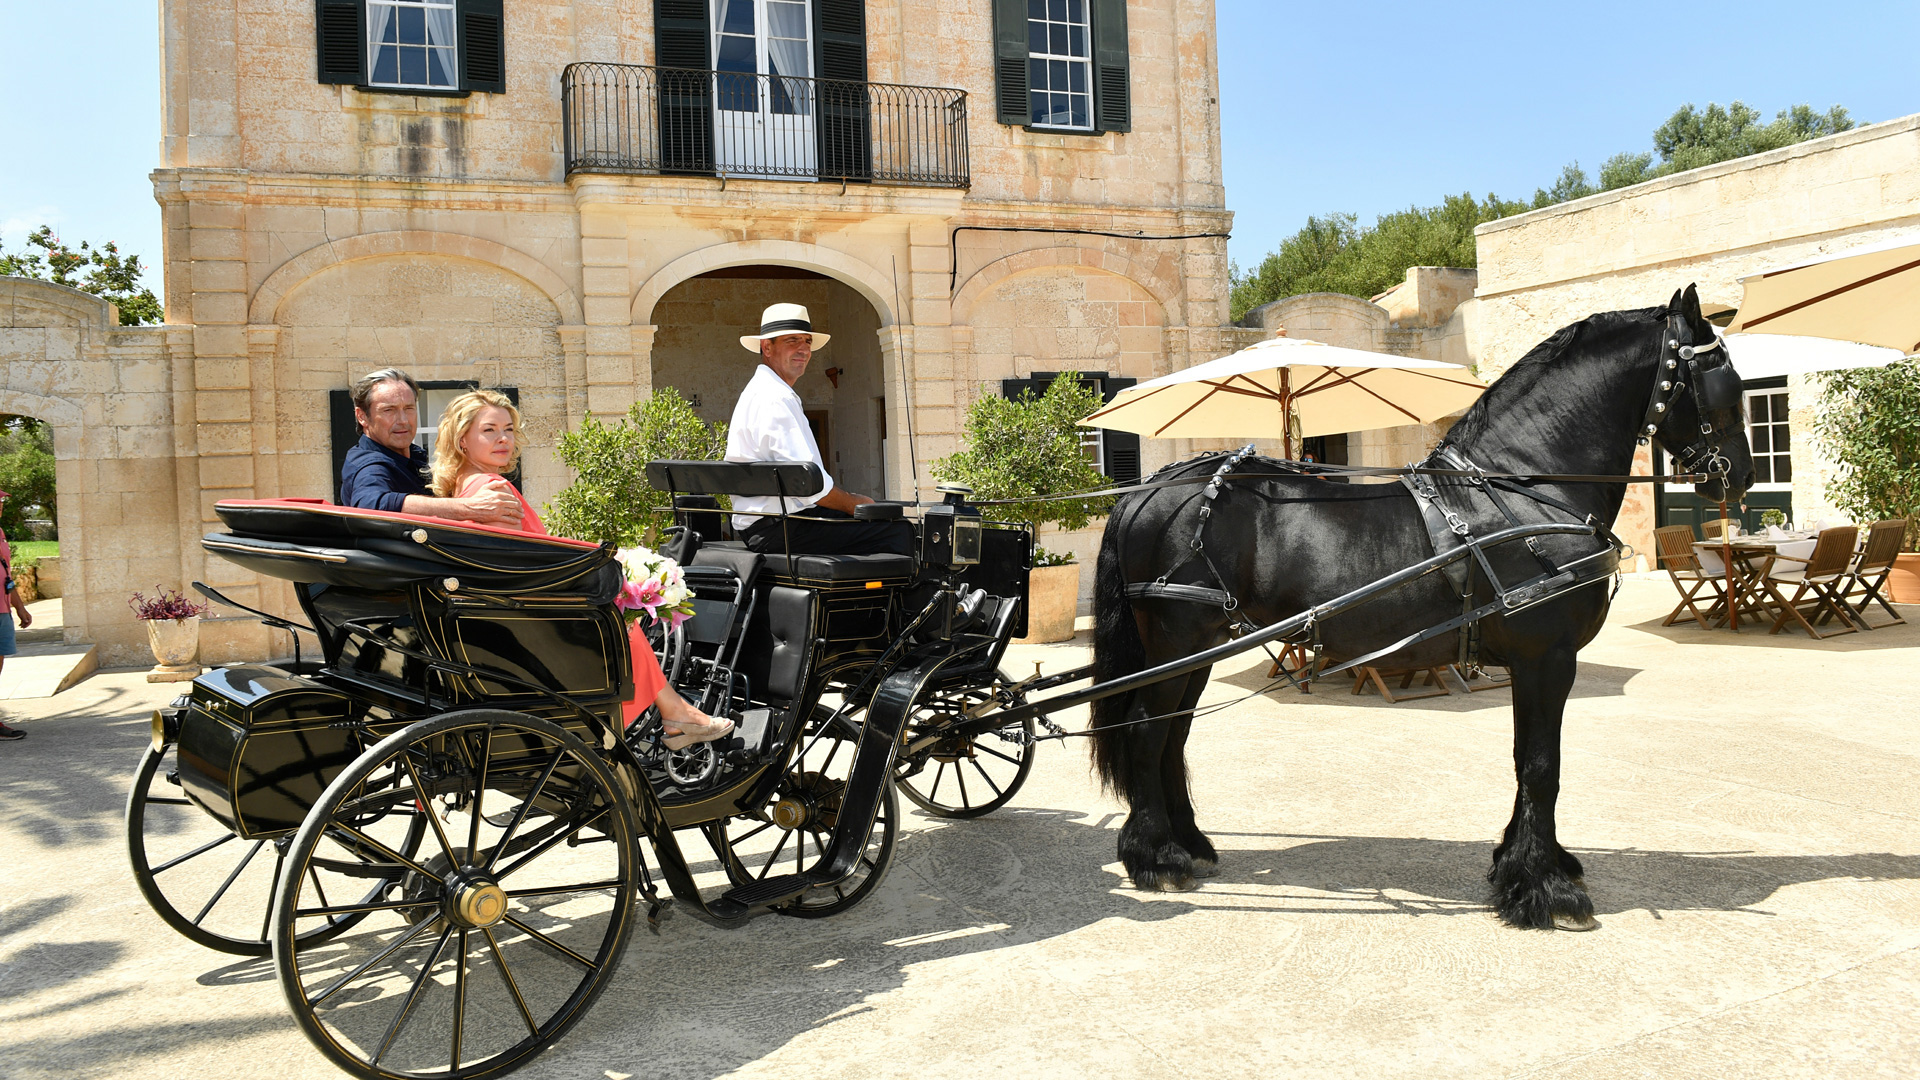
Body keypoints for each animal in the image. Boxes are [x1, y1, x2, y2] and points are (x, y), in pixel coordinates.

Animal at [1090, 284, 1751, 926]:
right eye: (1724, 382)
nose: (1740, 476)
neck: (1525, 490)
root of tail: (1152, 487)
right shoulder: (1547, 657)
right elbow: (1543, 765)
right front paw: (1547, 890)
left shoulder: (1531, 665)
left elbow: (1527, 760)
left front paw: (1523, 863)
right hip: (1177, 642)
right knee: (1147, 730)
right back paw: (1154, 858)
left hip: (1197, 650)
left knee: (1173, 735)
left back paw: (1187, 843)